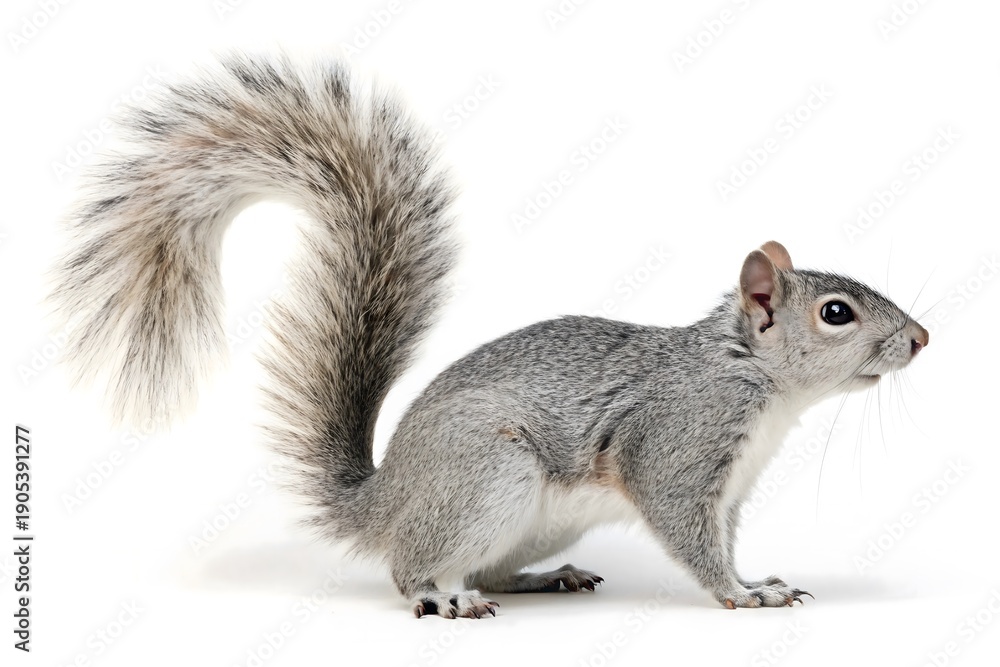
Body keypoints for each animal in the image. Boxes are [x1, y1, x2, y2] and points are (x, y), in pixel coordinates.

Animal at [51, 54, 929, 619]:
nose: (921, 338)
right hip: (488, 472)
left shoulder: (734, 483)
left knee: (493, 567)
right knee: (411, 565)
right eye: (838, 313)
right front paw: (743, 593)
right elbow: (687, 529)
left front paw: (757, 578)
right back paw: (440, 595)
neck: (757, 379)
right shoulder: (679, 442)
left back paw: (539, 578)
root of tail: (386, 498)